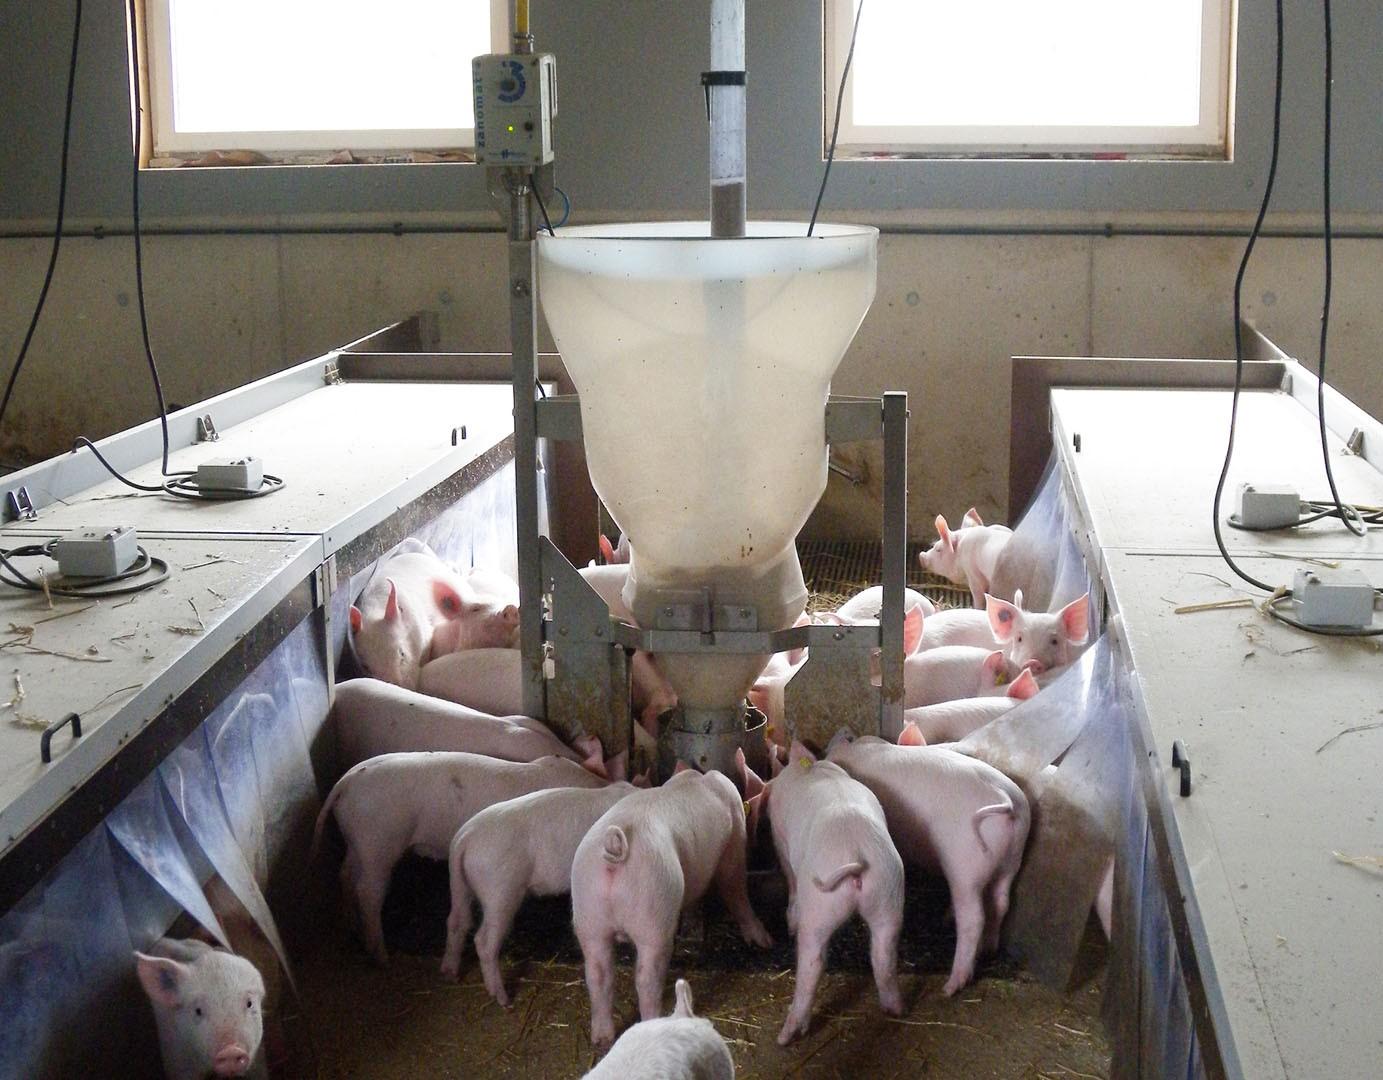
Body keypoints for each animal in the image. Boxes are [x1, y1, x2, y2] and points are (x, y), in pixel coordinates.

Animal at [313, 751, 606, 963]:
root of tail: (346, 782)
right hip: (379, 842)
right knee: (368, 891)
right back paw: (382, 955)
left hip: (356, 840)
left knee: (345, 874)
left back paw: (352, 927)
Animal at [441, 782, 639, 1002]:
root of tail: (463, 839)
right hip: (500, 890)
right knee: (484, 940)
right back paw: (503, 999)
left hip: (459, 883)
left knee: (456, 921)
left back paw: (450, 975)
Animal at [571, 766, 773, 1048]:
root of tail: (615, 847)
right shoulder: (733, 842)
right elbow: (735, 888)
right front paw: (764, 941)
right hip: (654, 910)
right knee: (647, 978)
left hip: (588, 913)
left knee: (598, 973)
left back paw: (601, 1038)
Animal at [755, 742, 905, 1044]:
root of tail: (855, 855)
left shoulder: (779, 837)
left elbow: (788, 875)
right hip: (888, 893)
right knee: (883, 955)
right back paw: (895, 1009)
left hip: (819, 906)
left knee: (812, 962)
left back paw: (785, 1037)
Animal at [826, 734, 1030, 995]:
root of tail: (1006, 801)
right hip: (1013, 859)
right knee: (1001, 902)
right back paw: (988, 948)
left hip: (964, 865)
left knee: (973, 918)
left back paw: (951, 986)